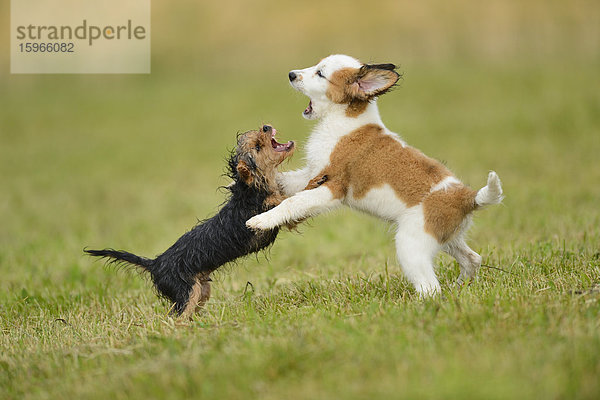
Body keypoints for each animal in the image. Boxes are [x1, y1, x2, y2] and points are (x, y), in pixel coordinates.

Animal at [246, 54, 504, 296]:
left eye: (320, 73)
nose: (291, 74)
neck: (344, 121)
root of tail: (468, 197)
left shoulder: (332, 188)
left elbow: (293, 202)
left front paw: (261, 220)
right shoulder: (312, 173)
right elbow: (287, 182)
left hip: (411, 245)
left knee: (431, 289)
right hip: (446, 239)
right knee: (473, 259)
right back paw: (460, 289)